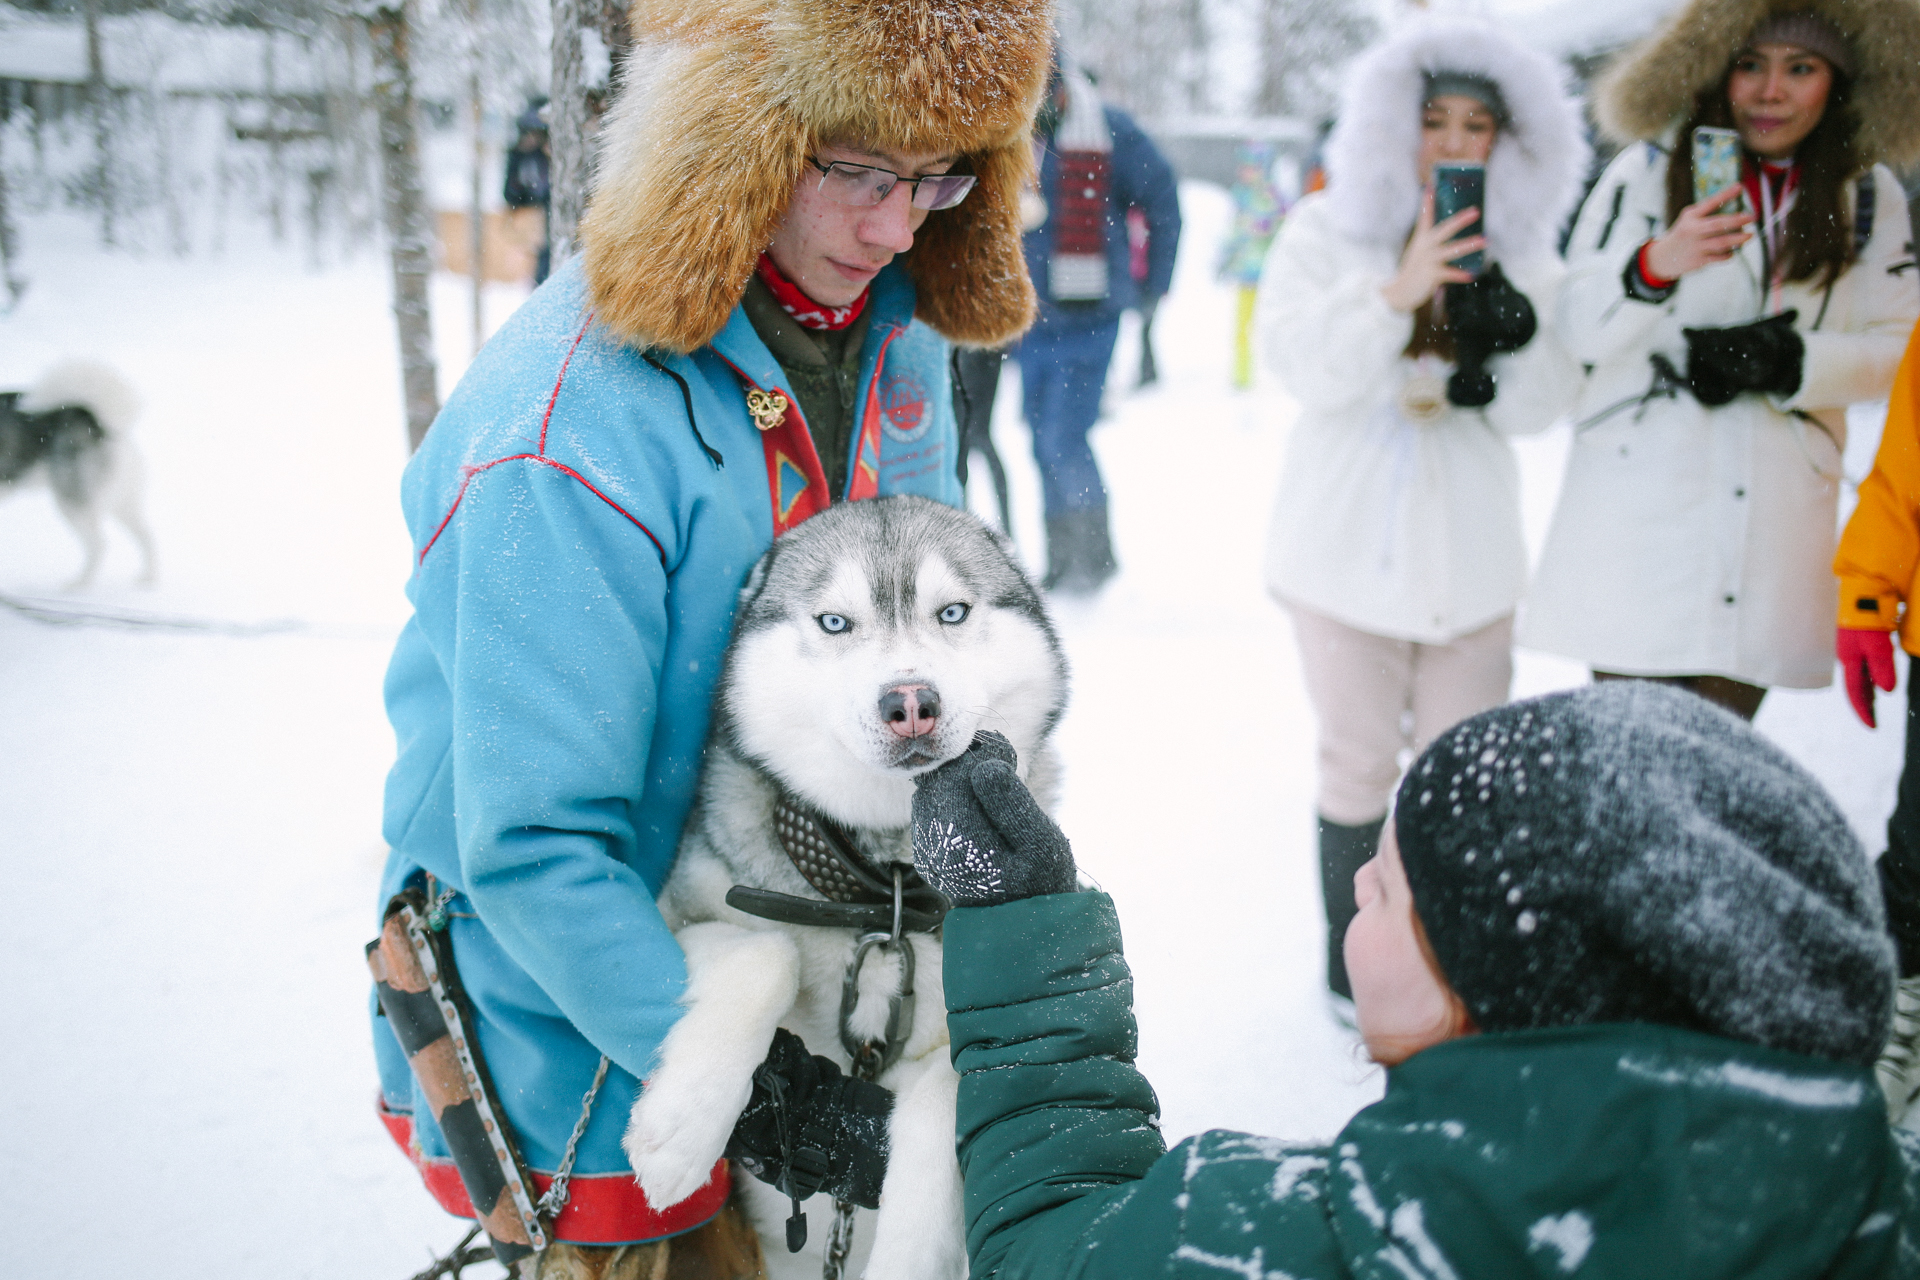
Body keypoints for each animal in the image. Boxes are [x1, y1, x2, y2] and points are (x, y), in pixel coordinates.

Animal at [0, 360, 156, 591]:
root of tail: (98, 425)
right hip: (123, 505)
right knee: (147, 537)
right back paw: (148, 578)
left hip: (72, 502)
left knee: (99, 545)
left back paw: (79, 584)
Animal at [629, 498, 1075, 1280]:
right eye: (835, 622)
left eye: (952, 612)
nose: (911, 701)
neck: (881, 887)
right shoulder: (662, 910)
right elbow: (765, 954)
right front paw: (682, 1126)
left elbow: (958, 1090)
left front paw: (908, 1254)